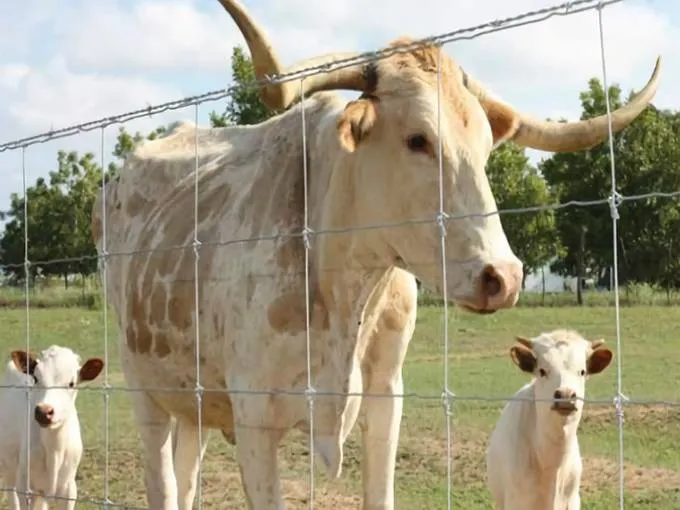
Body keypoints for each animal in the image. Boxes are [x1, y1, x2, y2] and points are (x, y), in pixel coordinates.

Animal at [0, 344, 105, 508]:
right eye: (36, 378)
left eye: (71, 383)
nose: (44, 411)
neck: (54, 449)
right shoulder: (25, 487)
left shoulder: (69, 489)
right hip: (9, 466)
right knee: (11, 492)